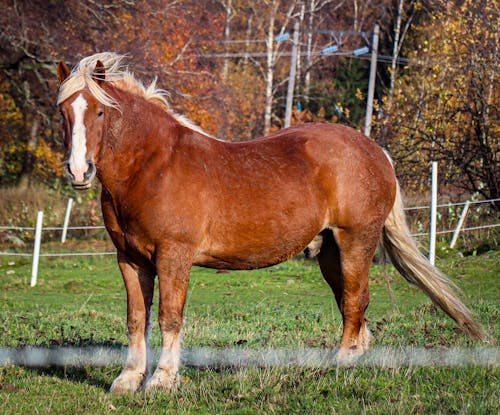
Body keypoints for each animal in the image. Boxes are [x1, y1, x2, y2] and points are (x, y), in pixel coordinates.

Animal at [56, 52, 486, 394]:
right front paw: (128, 380)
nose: (79, 171)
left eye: (98, 111)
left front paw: (162, 380)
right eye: (63, 113)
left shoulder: (173, 257)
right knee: (352, 307)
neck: (153, 166)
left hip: (355, 242)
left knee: (355, 301)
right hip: (329, 252)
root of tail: (374, 150)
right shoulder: (130, 260)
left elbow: (169, 317)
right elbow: (136, 318)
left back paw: (340, 366)